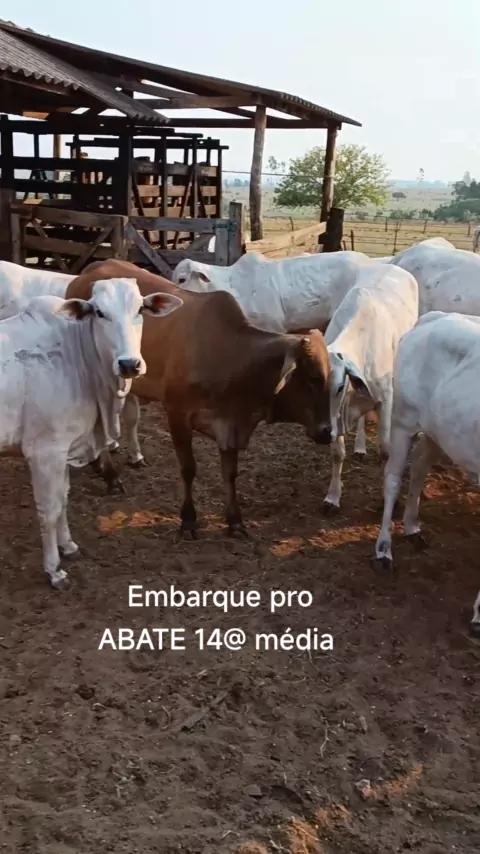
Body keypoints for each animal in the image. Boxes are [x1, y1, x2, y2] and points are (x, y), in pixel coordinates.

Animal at [0, 278, 182, 588]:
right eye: (99, 312)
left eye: (140, 309)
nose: (129, 364)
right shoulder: (44, 452)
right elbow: (49, 510)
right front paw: (54, 570)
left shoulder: (64, 448)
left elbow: (63, 499)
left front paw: (68, 546)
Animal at [66, 259, 333, 538]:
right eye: (313, 377)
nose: (327, 432)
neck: (228, 354)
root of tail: (91, 270)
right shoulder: (177, 414)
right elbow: (188, 469)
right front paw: (188, 520)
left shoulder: (228, 423)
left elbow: (230, 473)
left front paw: (235, 521)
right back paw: (109, 475)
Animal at [322, 265, 419, 513]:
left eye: (339, 386)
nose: (324, 432)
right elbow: (337, 454)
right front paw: (333, 497)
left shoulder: (385, 399)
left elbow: (385, 452)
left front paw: (387, 498)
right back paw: (360, 446)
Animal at [373, 311, 480, 635]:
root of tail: (436, 317)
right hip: (403, 421)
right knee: (393, 478)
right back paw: (384, 549)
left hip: (435, 431)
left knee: (420, 468)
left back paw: (412, 526)